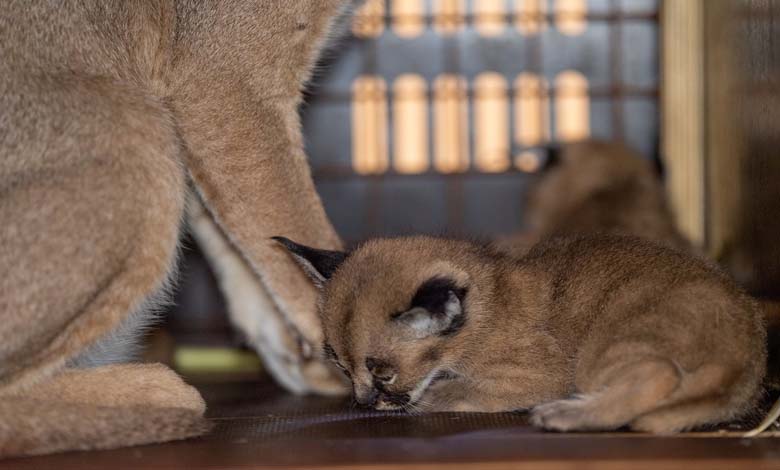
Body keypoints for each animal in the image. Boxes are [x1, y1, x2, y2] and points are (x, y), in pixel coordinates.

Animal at [276, 235, 768, 434]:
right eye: (341, 369)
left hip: (599, 352)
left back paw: (566, 415)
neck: (493, 292)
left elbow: (456, 390)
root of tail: (748, 349)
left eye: (382, 372)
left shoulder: (543, 372)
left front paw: (432, 398)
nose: (363, 403)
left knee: (657, 374)